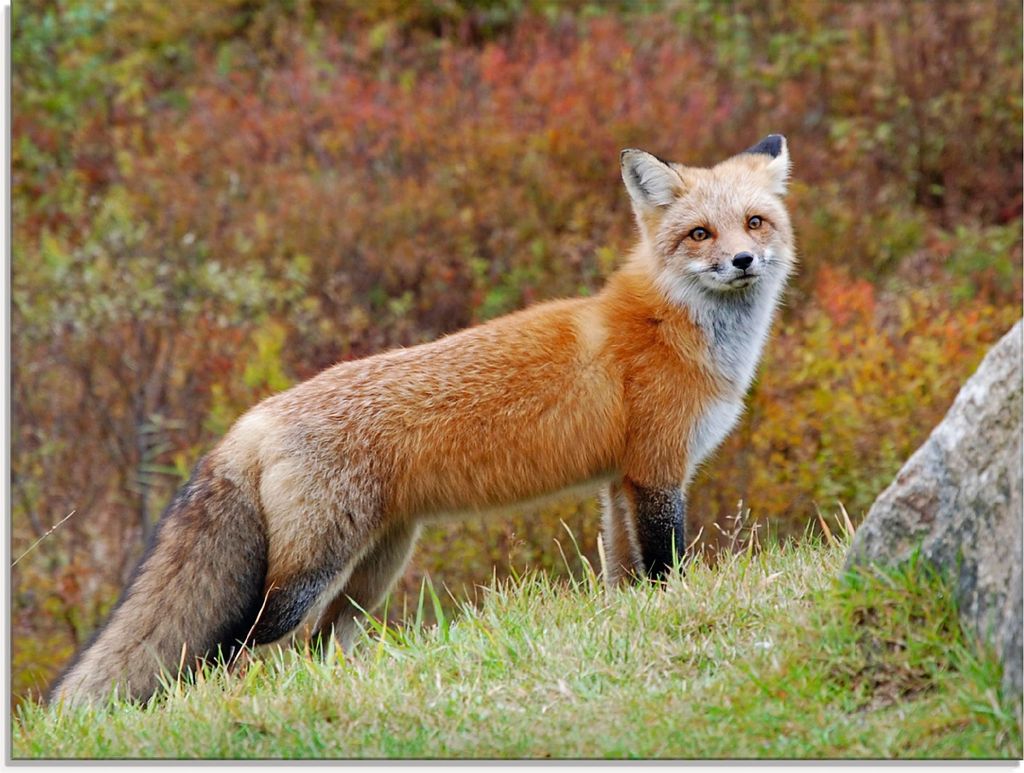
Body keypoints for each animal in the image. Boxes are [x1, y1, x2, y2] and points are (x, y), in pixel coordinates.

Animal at [49, 135, 795, 707]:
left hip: (374, 569)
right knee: (235, 645)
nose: (741, 261)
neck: (672, 326)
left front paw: (626, 625)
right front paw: (673, 611)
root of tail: (253, 418)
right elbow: (667, 569)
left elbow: (624, 576)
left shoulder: (621, 482)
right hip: (308, 573)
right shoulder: (658, 471)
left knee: (320, 643)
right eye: (700, 233)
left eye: (755, 222)